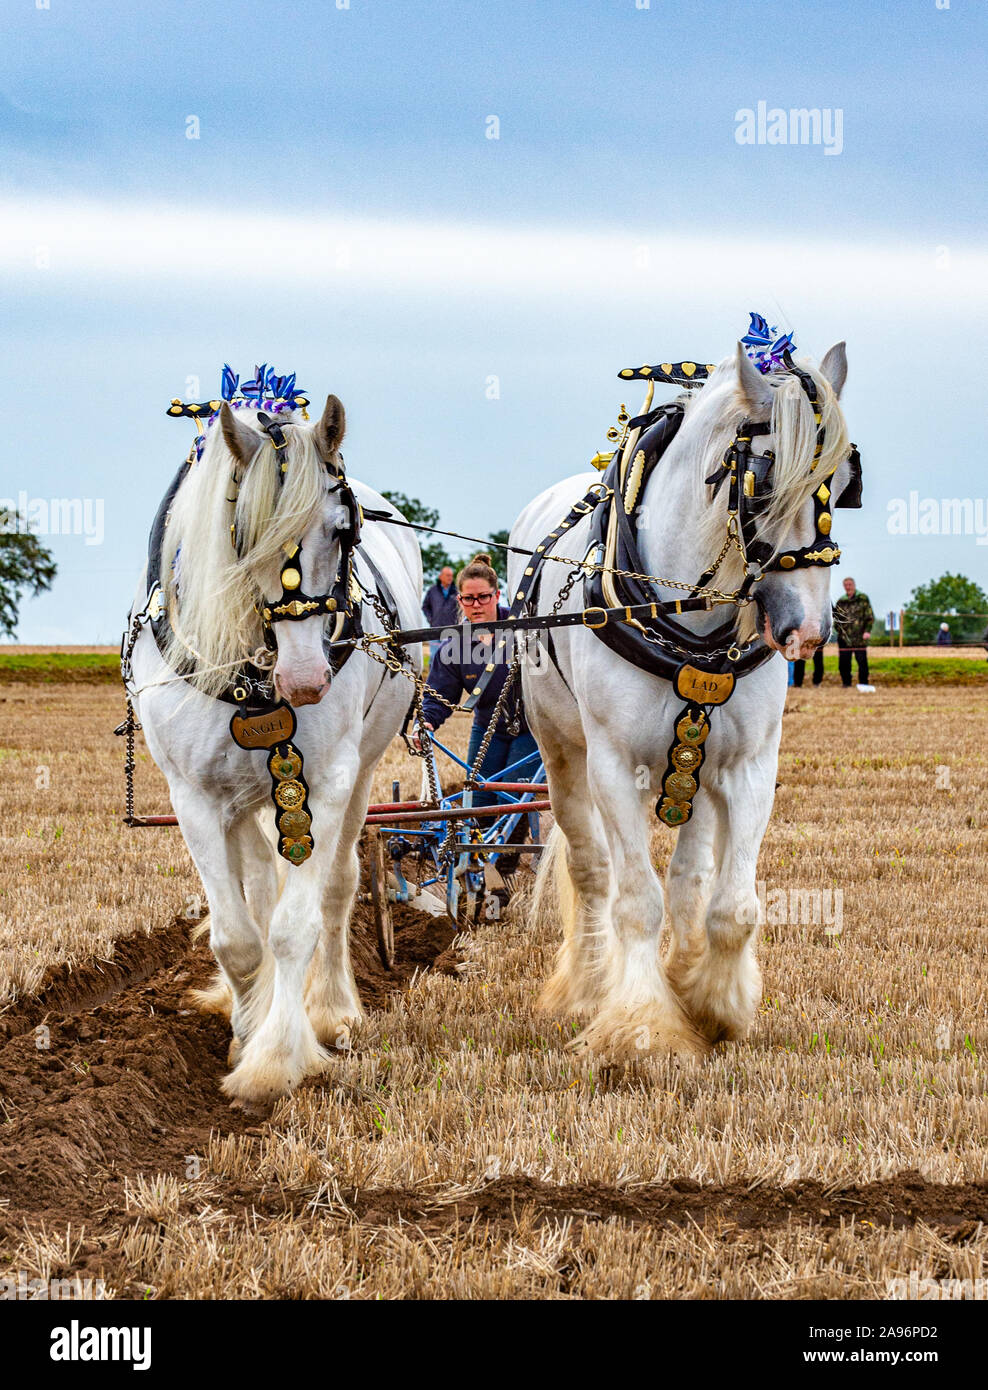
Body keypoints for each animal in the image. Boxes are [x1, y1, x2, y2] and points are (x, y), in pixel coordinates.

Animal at [127, 394, 422, 1106]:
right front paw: (244, 1029)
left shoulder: (324, 783)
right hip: (239, 795)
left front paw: (276, 1059)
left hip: (360, 773)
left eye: (343, 532)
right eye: (243, 533)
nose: (307, 678)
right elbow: (236, 935)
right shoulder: (195, 796)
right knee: (260, 879)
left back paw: (332, 1008)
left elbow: (295, 926)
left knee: (338, 887)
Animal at [514, 341, 855, 1056]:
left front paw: (712, 1005)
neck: (686, 615)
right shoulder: (613, 766)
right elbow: (634, 901)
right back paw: (589, 986)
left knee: (690, 878)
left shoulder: (748, 765)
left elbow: (731, 904)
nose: (808, 631)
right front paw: (643, 1026)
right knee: (593, 872)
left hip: (693, 766)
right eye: (764, 482)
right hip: (562, 754)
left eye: (844, 484)